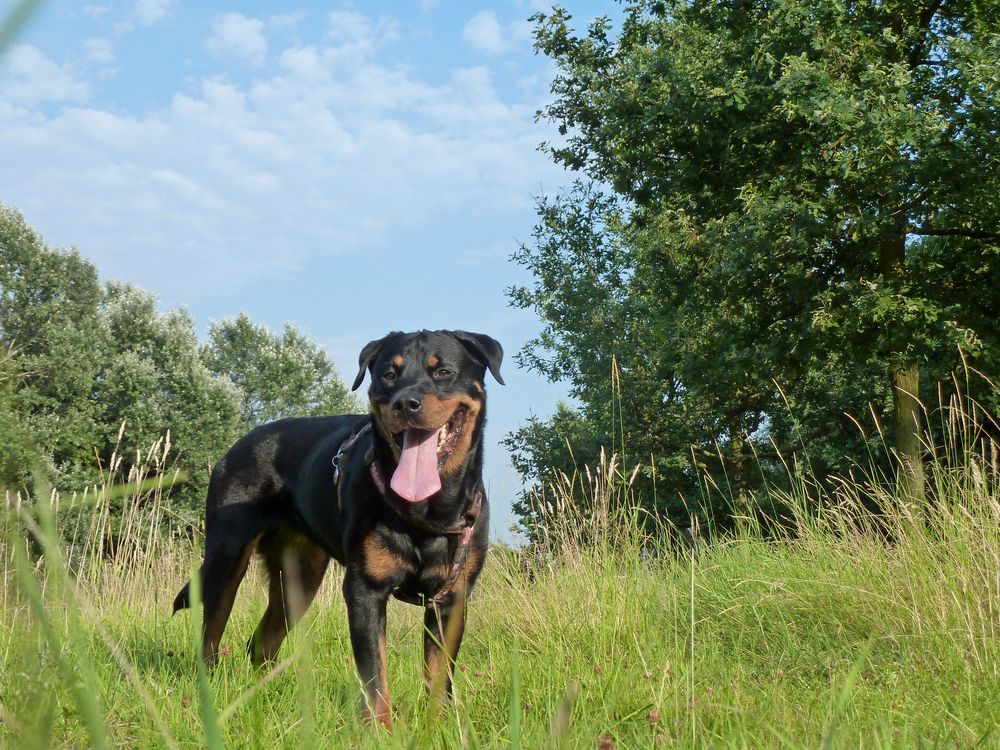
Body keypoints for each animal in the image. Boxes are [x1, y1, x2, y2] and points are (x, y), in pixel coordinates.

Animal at [174, 332, 508, 732]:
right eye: (388, 374)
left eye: (442, 371)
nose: (406, 402)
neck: (428, 510)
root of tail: (233, 448)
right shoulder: (365, 589)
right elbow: (374, 675)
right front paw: (382, 733)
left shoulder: (451, 597)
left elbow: (439, 675)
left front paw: (439, 730)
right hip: (226, 559)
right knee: (210, 634)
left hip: (299, 579)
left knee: (263, 641)